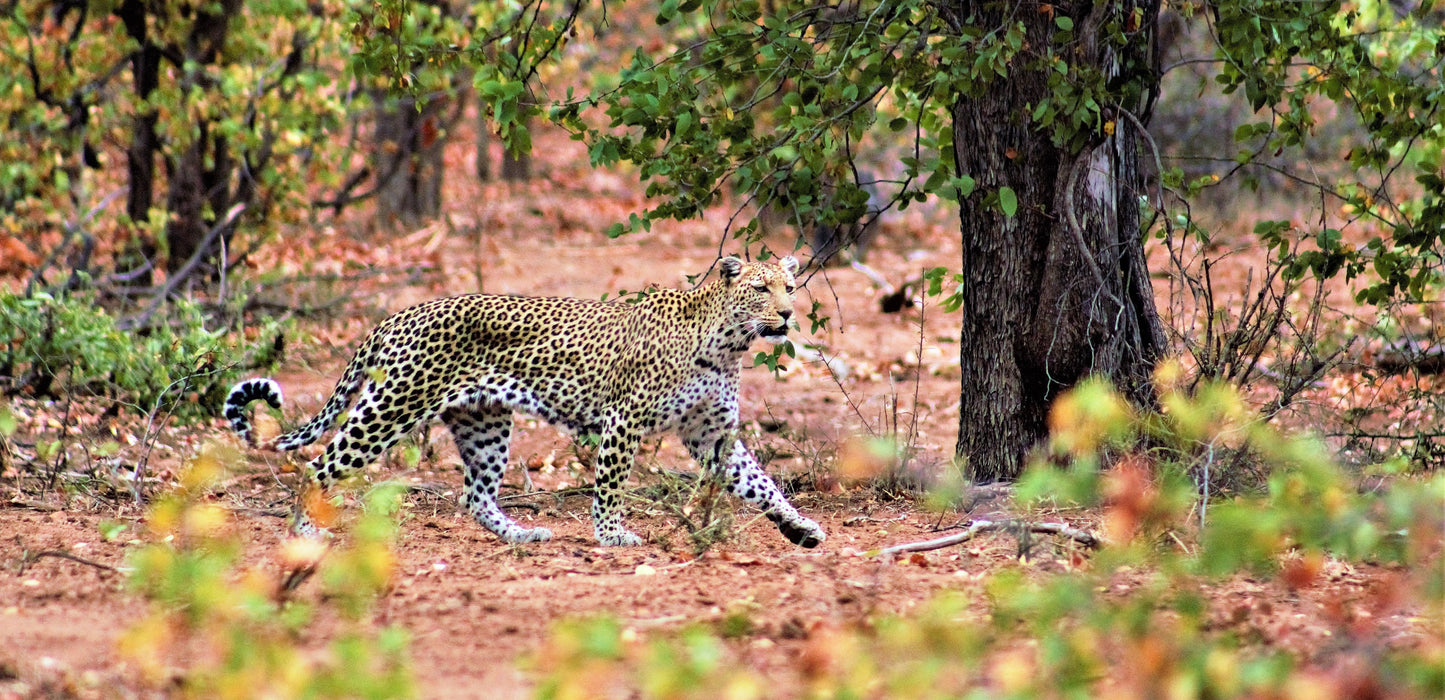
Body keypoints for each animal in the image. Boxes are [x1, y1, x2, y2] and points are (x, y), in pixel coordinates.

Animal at [231, 254, 832, 549]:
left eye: (789, 288)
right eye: (760, 289)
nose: (786, 316)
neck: (727, 343)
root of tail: (397, 315)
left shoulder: (712, 433)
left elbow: (760, 482)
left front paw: (799, 528)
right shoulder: (625, 420)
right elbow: (610, 484)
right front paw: (611, 534)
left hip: (484, 423)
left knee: (474, 495)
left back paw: (523, 533)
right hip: (391, 407)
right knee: (318, 466)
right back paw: (305, 533)